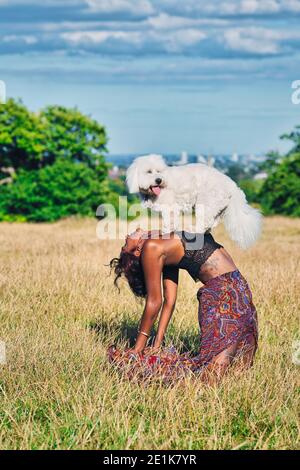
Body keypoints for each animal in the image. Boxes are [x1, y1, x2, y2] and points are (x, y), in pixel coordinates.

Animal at [125, 154, 262, 250]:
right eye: (149, 172)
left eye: (159, 171)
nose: (159, 180)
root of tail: (233, 187)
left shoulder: (170, 208)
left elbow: (169, 221)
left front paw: (165, 232)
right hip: (216, 206)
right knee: (212, 223)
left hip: (206, 202)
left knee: (205, 222)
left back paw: (193, 229)